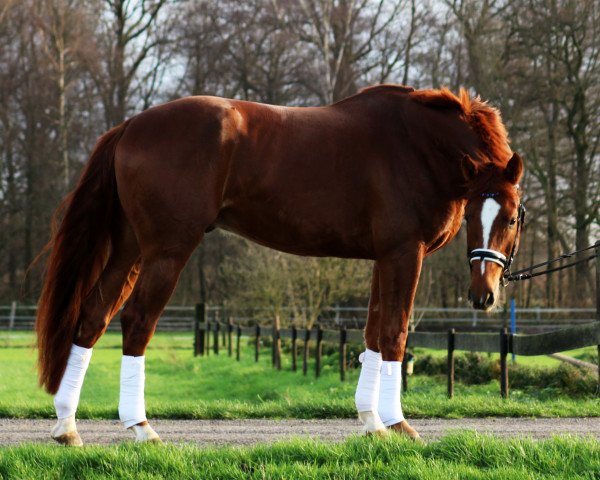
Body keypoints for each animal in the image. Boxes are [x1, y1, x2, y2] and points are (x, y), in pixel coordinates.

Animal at [36, 83, 524, 446]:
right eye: (478, 215)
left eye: (510, 216)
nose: (483, 295)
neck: (415, 144)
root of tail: (131, 125)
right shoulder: (405, 252)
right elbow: (395, 334)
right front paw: (398, 424)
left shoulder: (381, 258)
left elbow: (371, 334)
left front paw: (370, 422)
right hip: (167, 250)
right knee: (137, 321)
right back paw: (141, 427)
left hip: (129, 248)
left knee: (93, 316)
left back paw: (67, 427)